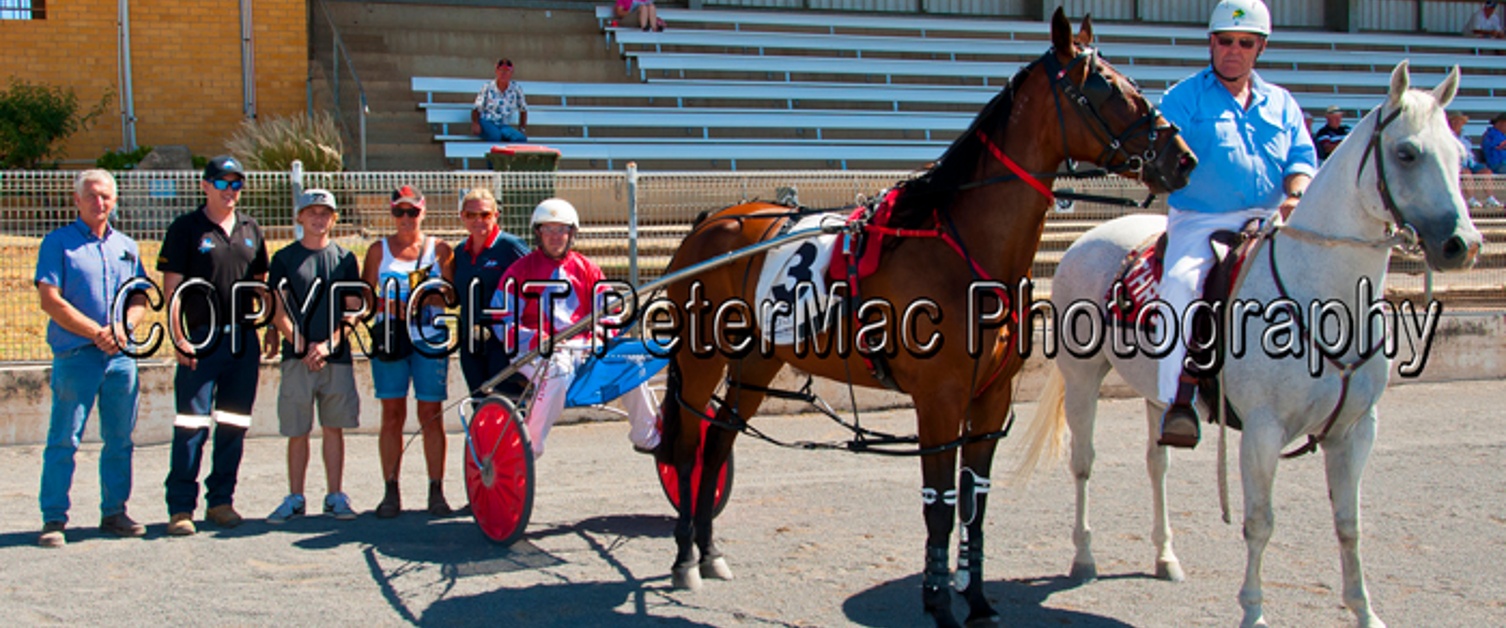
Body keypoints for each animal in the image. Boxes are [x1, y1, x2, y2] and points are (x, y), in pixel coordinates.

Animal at [653, 8, 1192, 620]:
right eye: (1104, 86)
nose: (1182, 158)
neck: (962, 249)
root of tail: (711, 222)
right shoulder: (939, 402)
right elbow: (940, 503)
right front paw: (938, 601)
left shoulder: (989, 401)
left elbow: (975, 504)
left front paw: (975, 597)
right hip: (702, 360)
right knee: (690, 447)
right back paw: (685, 559)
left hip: (758, 362)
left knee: (720, 440)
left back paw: (710, 551)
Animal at [1018, 59, 1475, 626]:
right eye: (1407, 152)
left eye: (1458, 154)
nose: (1462, 245)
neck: (1320, 294)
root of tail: (1090, 238)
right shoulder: (1262, 430)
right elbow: (1260, 522)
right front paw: (1253, 610)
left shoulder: (1355, 430)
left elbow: (1349, 523)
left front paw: (1364, 610)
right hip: (1083, 377)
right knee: (1083, 462)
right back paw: (1084, 557)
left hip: (1157, 394)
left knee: (1157, 465)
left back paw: (1165, 556)